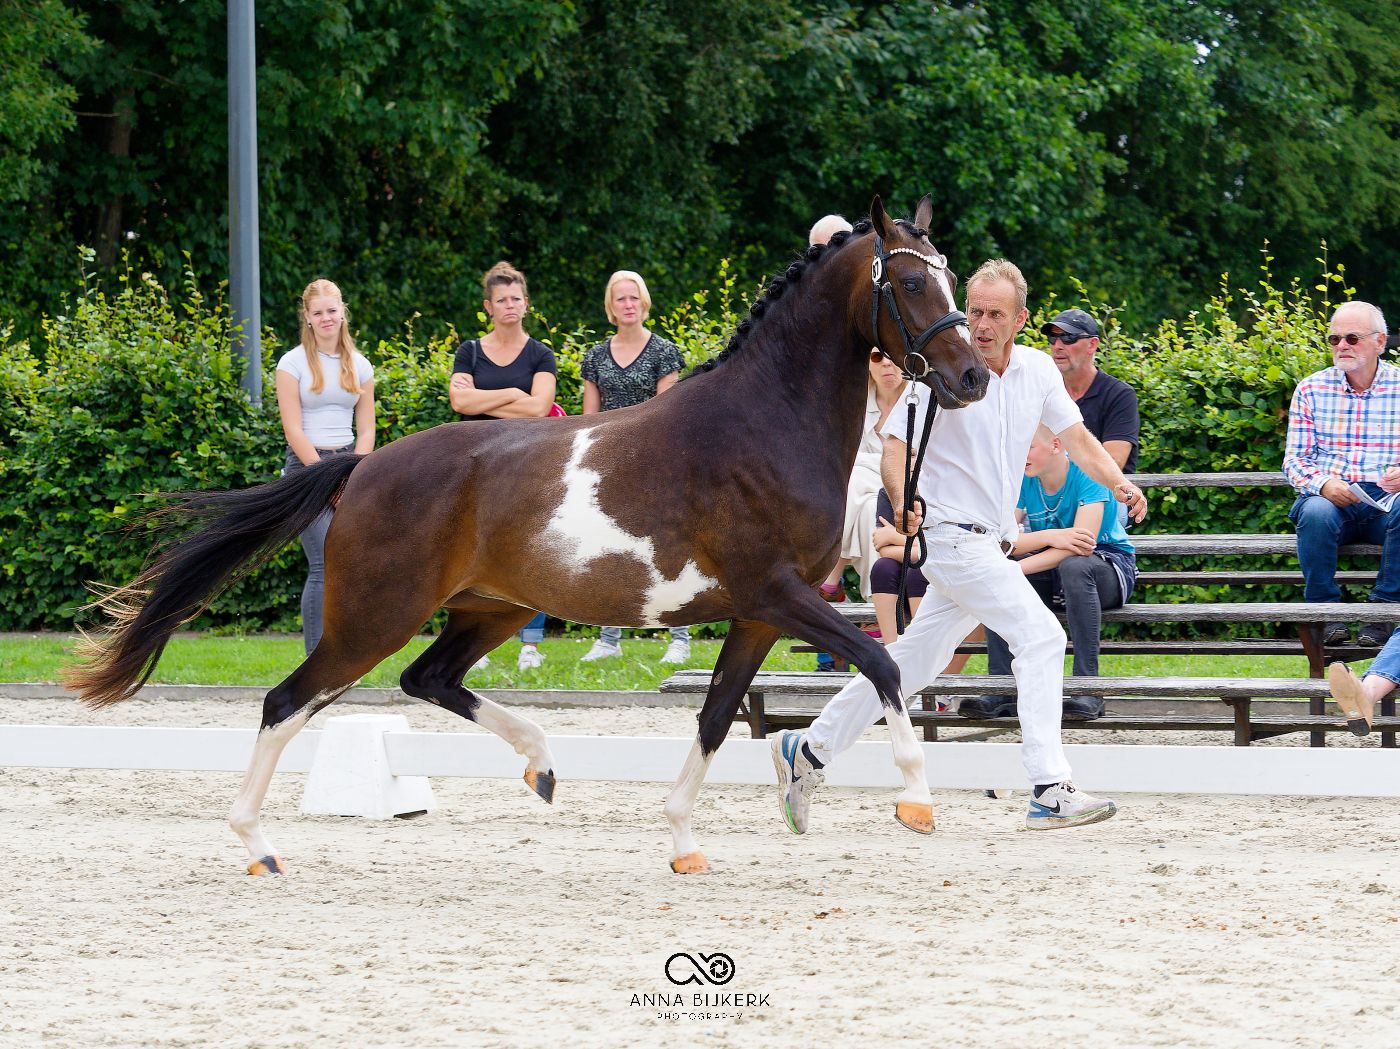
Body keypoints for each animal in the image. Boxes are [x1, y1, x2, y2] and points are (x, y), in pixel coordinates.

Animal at [63, 195, 989, 875]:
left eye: (952, 282)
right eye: (912, 284)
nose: (974, 374)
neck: (765, 423)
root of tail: (363, 467)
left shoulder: (759, 613)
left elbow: (717, 716)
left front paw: (684, 841)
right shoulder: (778, 593)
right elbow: (879, 664)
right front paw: (916, 800)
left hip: (489, 610)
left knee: (426, 679)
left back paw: (541, 763)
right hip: (375, 616)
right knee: (288, 701)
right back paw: (258, 845)